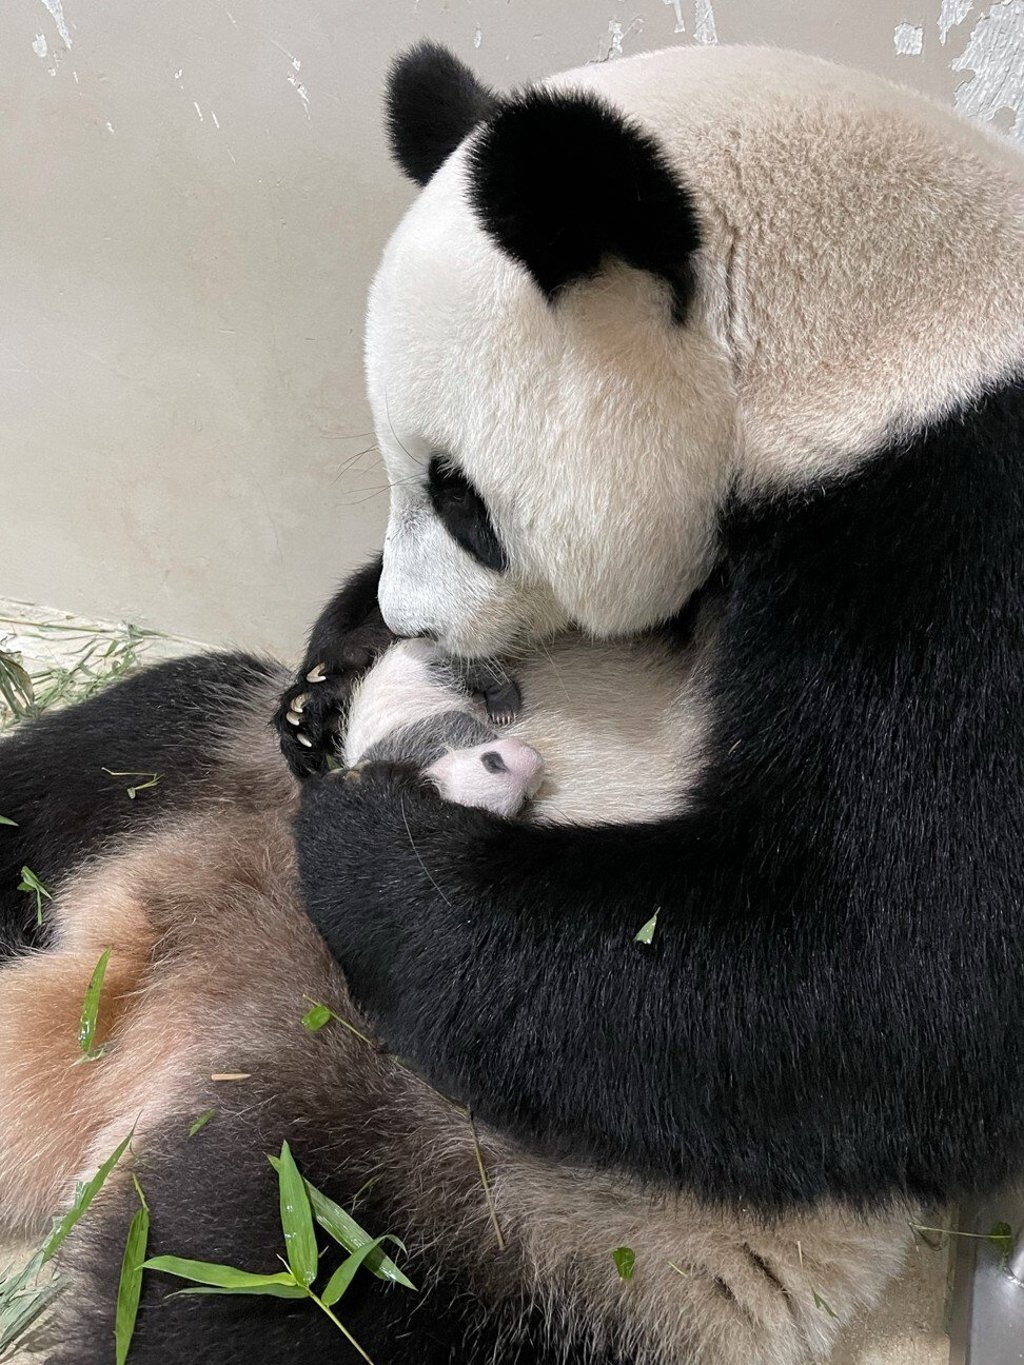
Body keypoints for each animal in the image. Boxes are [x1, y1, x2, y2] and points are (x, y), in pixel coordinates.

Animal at [1, 36, 1022, 1365]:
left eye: (463, 497)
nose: (409, 622)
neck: (881, 350)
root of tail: (155, 995)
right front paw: (333, 668)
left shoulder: (956, 529)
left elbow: (881, 964)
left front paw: (372, 841)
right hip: (194, 763)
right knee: (82, 767)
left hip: (478, 1218)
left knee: (264, 1297)